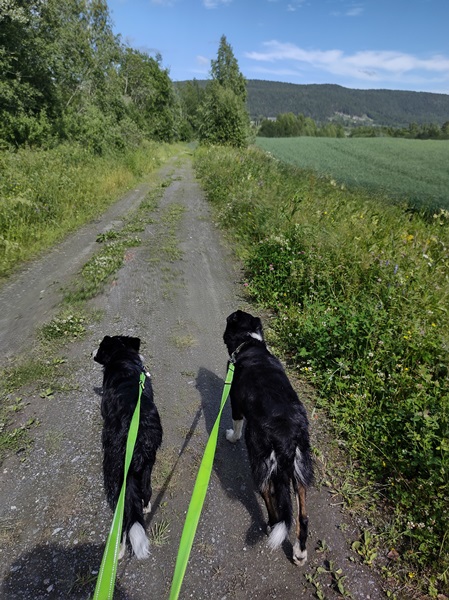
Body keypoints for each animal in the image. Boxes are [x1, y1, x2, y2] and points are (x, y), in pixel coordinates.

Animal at [92, 336, 162, 560]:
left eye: (100, 347)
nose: (90, 353)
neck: (123, 357)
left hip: (117, 472)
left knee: (124, 517)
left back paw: (119, 550)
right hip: (148, 465)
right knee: (146, 491)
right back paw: (146, 507)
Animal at [222, 312, 314, 564]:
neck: (250, 344)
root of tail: (286, 438)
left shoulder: (235, 403)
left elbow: (236, 425)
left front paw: (231, 437)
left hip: (259, 457)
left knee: (269, 500)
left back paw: (272, 525)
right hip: (301, 463)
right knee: (302, 516)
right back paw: (299, 552)